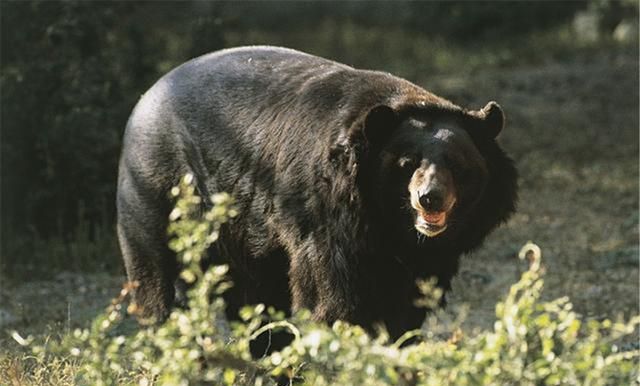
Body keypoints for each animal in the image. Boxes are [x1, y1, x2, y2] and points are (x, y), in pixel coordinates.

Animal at [117, 46, 516, 338]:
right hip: (158, 187)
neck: (389, 222)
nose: (430, 197)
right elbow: (334, 294)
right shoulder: (326, 216)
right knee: (157, 273)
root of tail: (146, 96)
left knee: (254, 297)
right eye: (407, 162)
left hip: (243, 236)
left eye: (457, 164)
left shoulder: (427, 253)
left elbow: (408, 304)